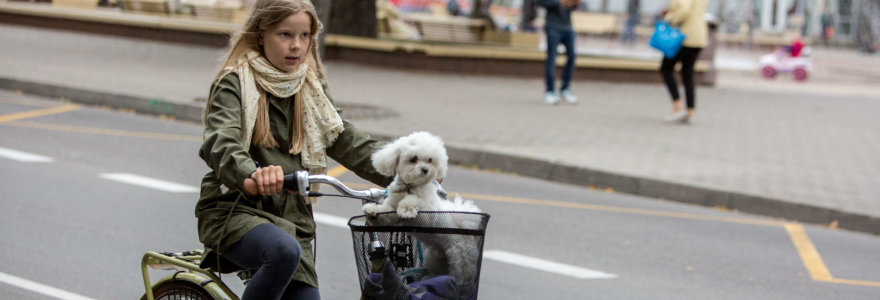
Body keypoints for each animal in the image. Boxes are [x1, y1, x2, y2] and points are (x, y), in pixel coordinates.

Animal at [360, 131, 482, 284]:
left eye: (430, 160)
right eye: (413, 159)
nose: (425, 169)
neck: (410, 187)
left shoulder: (428, 212)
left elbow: (415, 201)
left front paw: (406, 208)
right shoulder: (391, 209)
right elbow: (385, 213)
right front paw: (372, 210)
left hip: (460, 258)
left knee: (462, 274)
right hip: (437, 257)